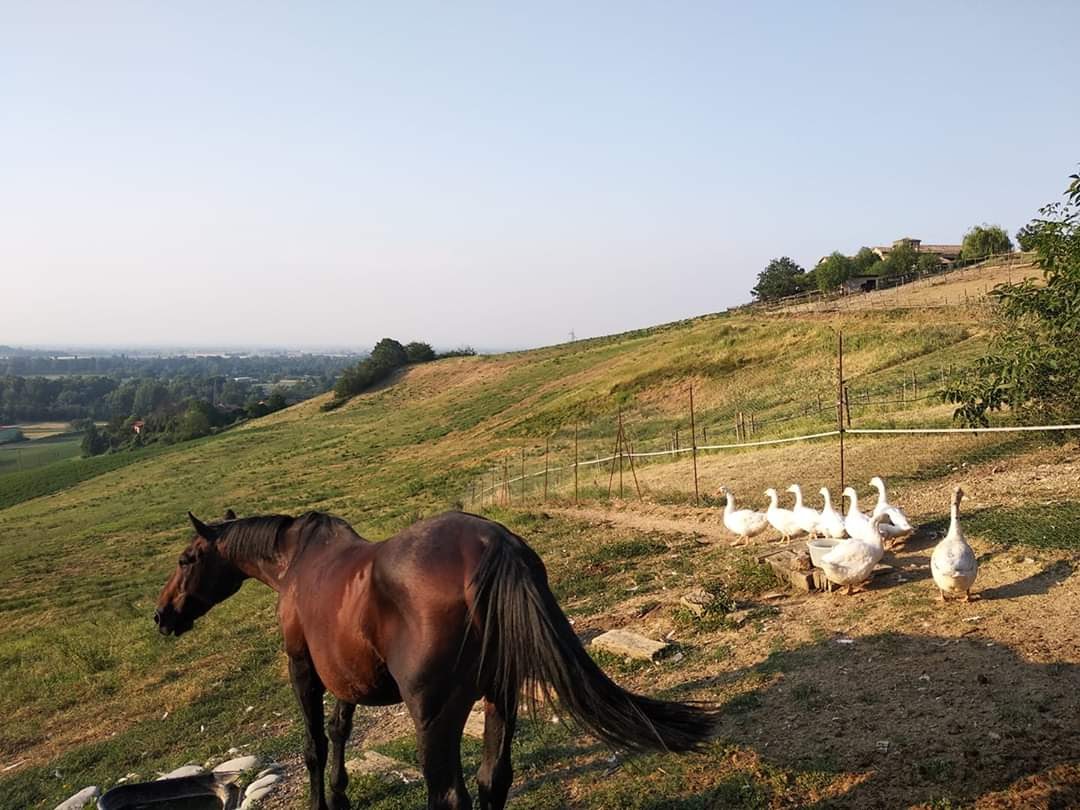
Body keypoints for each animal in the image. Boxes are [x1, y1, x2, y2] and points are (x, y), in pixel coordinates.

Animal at [155, 509, 718, 810]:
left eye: (187, 559)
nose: (162, 617)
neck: (294, 562)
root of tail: (494, 545)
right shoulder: (348, 678)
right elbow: (339, 731)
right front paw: (340, 795)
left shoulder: (303, 668)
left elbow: (315, 744)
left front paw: (321, 800)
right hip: (500, 696)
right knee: (493, 779)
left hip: (435, 715)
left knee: (449, 794)